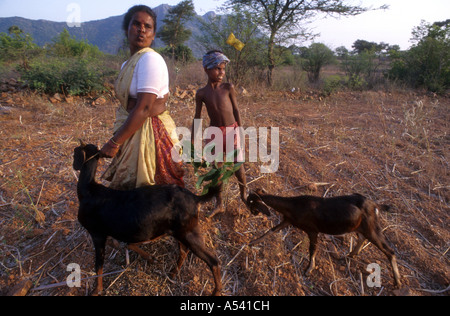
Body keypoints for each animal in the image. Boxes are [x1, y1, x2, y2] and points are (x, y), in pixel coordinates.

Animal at [73, 143, 222, 296]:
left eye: (75, 152)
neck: (89, 190)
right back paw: (173, 272)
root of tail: (195, 198)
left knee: (213, 261)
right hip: (180, 231)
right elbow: (128, 244)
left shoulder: (97, 233)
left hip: (188, 232)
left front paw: (97, 289)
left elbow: (99, 264)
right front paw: (151, 257)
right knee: (184, 251)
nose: (74, 166)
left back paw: (216, 291)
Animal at [248, 189, 402, 288]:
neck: (295, 206)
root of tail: (376, 206)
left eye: (251, 201)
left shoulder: (312, 230)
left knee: (389, 250)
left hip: (372, 228)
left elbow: (312, 249)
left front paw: (309, 269)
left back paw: (397, 283)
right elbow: (270, 231)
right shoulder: (288, 220)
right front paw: (252, 242)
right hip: (360, 228)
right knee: (362, 238)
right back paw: (349, 255)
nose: (252, 212)